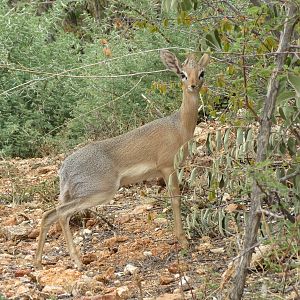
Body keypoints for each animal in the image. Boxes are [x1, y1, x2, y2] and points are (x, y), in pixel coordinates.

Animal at [34, 49, 209, 270]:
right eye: (182, 74)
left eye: (201, 72)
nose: (193, 85)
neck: (179, 126)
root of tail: (64, 169)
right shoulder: (168, 167)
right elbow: (175, 199)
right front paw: (183, 240)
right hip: (100, 192)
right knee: (61, 213)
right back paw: (77, 261)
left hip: (72, 195)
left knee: (48, 215)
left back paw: (39, 262)